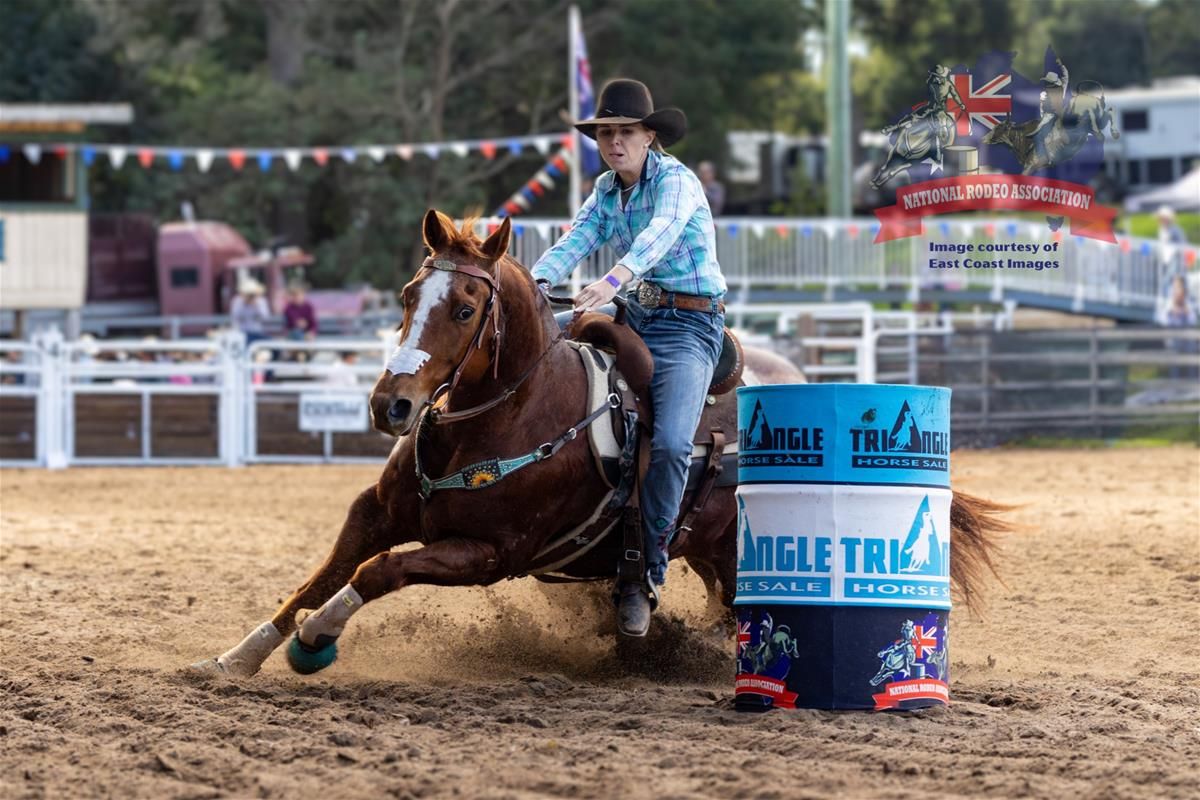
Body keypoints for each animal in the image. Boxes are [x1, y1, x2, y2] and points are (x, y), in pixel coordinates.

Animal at [194, 209, 1003, 681]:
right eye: (406, 296)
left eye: (465, 307)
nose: (390, 403)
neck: (504, 420)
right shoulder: (376, 511)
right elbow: (321, 574)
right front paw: (239, 656)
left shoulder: (488, 554)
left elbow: (377, 573)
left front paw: (315, 641)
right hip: (713, 552)